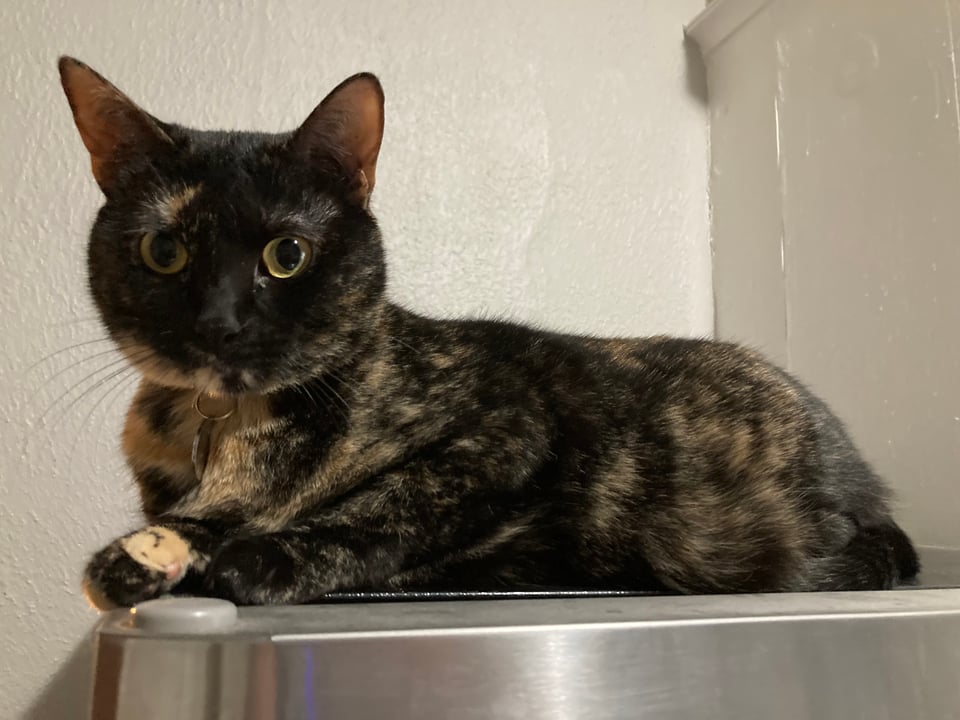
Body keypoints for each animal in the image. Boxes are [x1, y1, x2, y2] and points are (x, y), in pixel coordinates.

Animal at [56, 56, 920, 612]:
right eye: (164, 252)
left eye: (286, 255)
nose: (219, 322)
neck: (224, 429)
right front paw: (155, 554)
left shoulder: (507, 430)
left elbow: (380, 508)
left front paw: (243, 557)